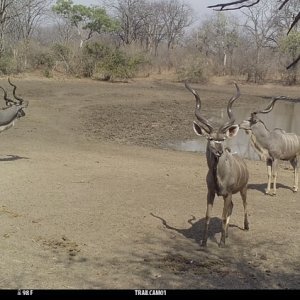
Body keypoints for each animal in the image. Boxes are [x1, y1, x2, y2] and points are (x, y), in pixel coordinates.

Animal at [184, 81, 250, 246]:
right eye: (210, 139)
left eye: (222, 138)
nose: (219, 152)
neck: (219, 175)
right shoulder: (211, 192)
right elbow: (208, 216)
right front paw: (204, 242)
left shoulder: (227, 194)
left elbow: (222, 216)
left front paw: (221, 243)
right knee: (232, 208)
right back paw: (226, 234)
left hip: (243, 188)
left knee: (244, 204)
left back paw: (245, 227)